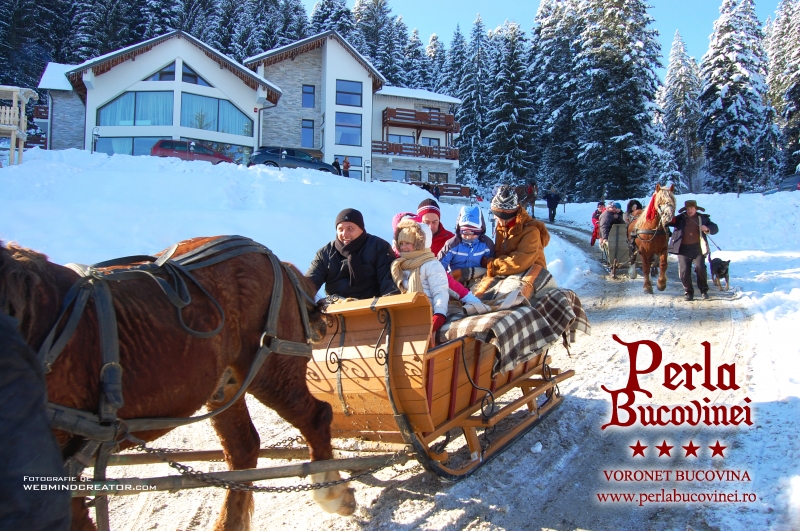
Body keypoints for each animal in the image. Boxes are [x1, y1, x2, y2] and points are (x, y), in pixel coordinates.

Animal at [0, 236, 355, 531]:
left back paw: (332, 490)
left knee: (315, 416)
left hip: (273, 370)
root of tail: (269, 255)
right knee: (244, 448)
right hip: (225, 387)